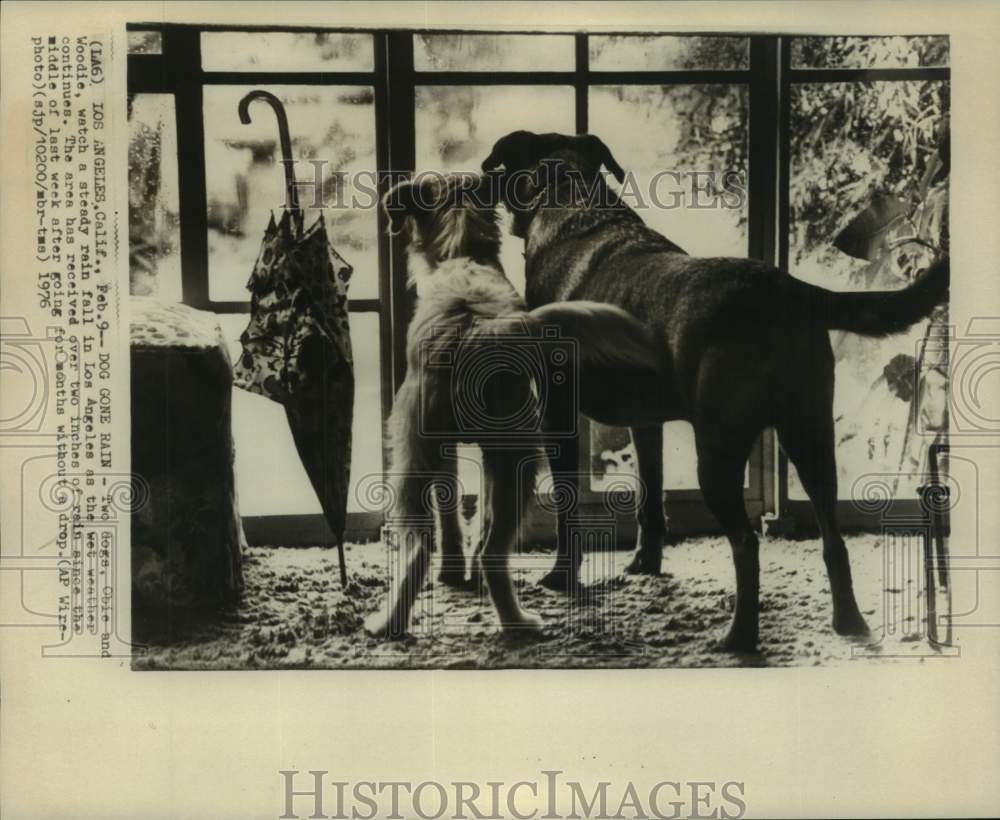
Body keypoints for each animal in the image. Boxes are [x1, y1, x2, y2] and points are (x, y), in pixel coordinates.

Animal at [364, 175, 660, 640]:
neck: (463, 252)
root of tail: (470, 334)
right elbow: (477, 520)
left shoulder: (444, 453)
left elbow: (453, 514)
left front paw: (453, 571)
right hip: (517, 459)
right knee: (491, 550)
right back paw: (517, 623)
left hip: (411, 459)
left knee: (419, 548)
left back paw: (390, 622)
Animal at [480, 131, 948, 652]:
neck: (571, 193)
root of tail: (786, 290)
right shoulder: (645, 421)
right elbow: (650, 496)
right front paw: (645, 564)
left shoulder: (557, 413)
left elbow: (568, 510)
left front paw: (562, 577)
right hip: (810, 433)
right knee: (832, 537)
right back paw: (847, 621)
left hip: (720, 449)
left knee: (747, 543)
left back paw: (739, 636)